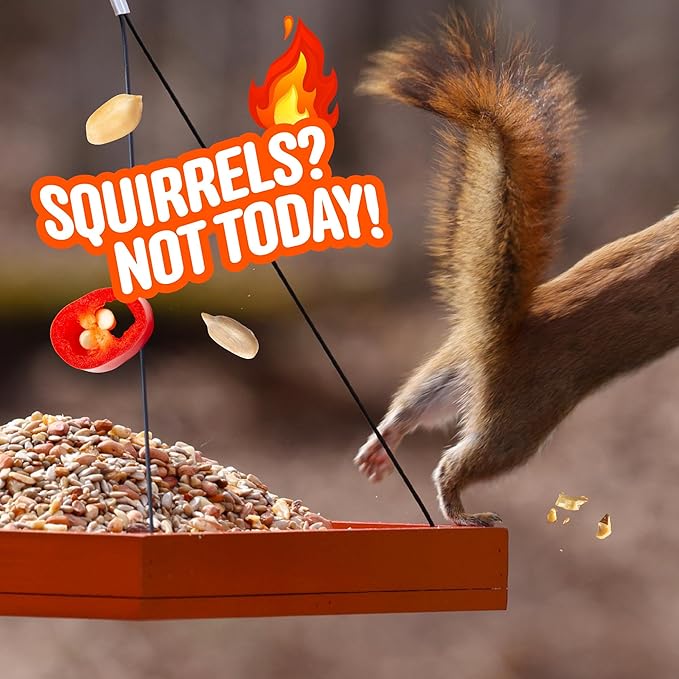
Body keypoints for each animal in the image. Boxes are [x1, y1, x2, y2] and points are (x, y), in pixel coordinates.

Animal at [353, 13, 679, 526]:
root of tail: (496, 333)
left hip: (452, 369)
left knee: (414, 404)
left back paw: (382, 443)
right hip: (520, 419)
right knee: (456, 462)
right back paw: (463, 511)